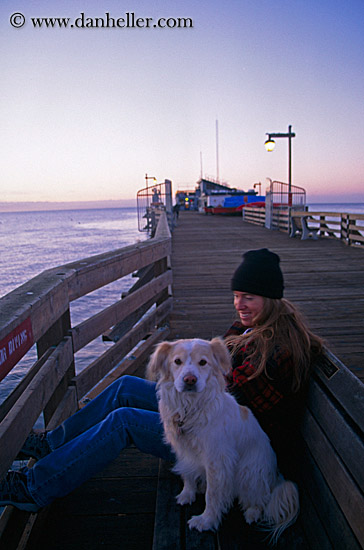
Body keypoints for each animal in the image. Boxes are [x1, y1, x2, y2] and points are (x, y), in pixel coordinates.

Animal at [146, 338, 300, 540]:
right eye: (177, 361)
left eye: (203, 362)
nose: (190, 380)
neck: (190, 407)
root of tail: (275, 476)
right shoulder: (183, 450)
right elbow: (187, 473)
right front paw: (188, 494)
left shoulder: (217, 460)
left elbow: (212, 495)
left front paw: (206, 521)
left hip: (249, 472)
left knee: (261, 498)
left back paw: (252, 513)